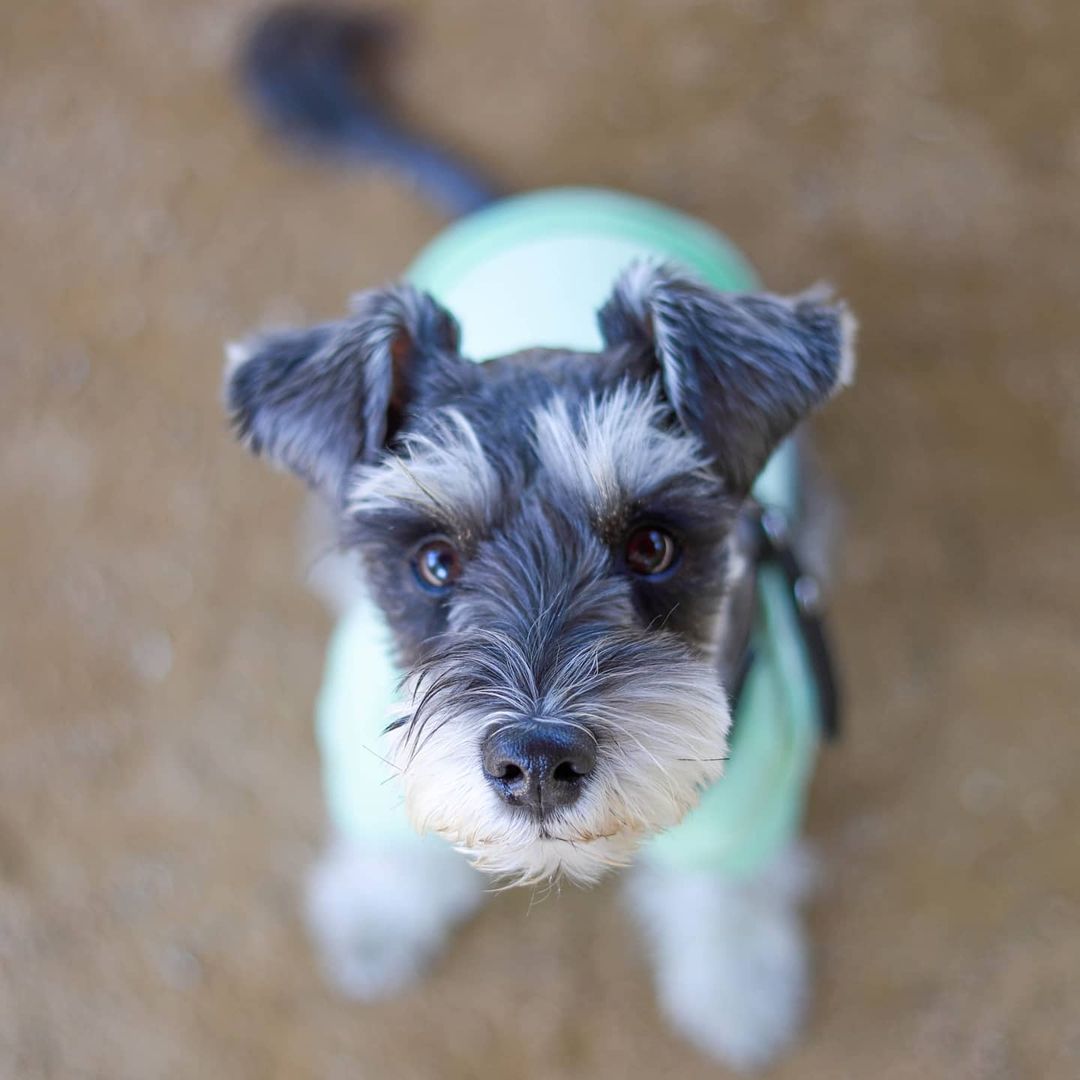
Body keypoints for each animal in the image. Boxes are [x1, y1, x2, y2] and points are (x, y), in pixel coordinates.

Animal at [223, 8, 855, 1071]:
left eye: (653, 545)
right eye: (434, 561)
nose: (537, 764)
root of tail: (549, 201)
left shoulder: (754, 807)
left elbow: (726, 895)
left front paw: (736, 985)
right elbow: (386, 845)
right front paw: (378, 920)